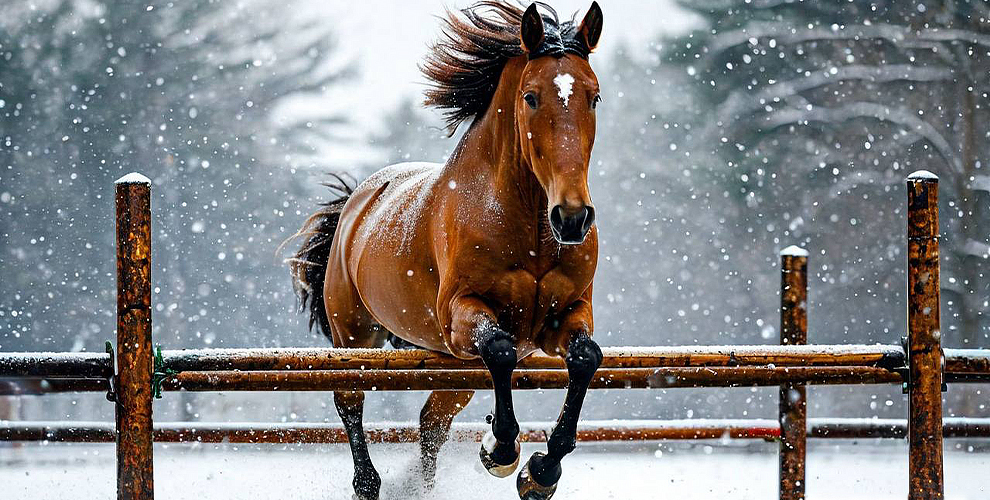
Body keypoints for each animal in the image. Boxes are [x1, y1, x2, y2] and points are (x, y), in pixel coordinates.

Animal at [288, 4, 604, 500]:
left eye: (594, 97)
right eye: (531, 97)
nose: (571, 218)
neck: (530, 232)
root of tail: (355, 203)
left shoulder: (564, 316)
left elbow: (586, 359)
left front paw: (540, 472)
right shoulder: (461, 314)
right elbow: (501, 350)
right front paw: (500, 451)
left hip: (454, 366)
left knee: (432, 420)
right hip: (354, 336)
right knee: (350, 399)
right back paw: (368, 483)